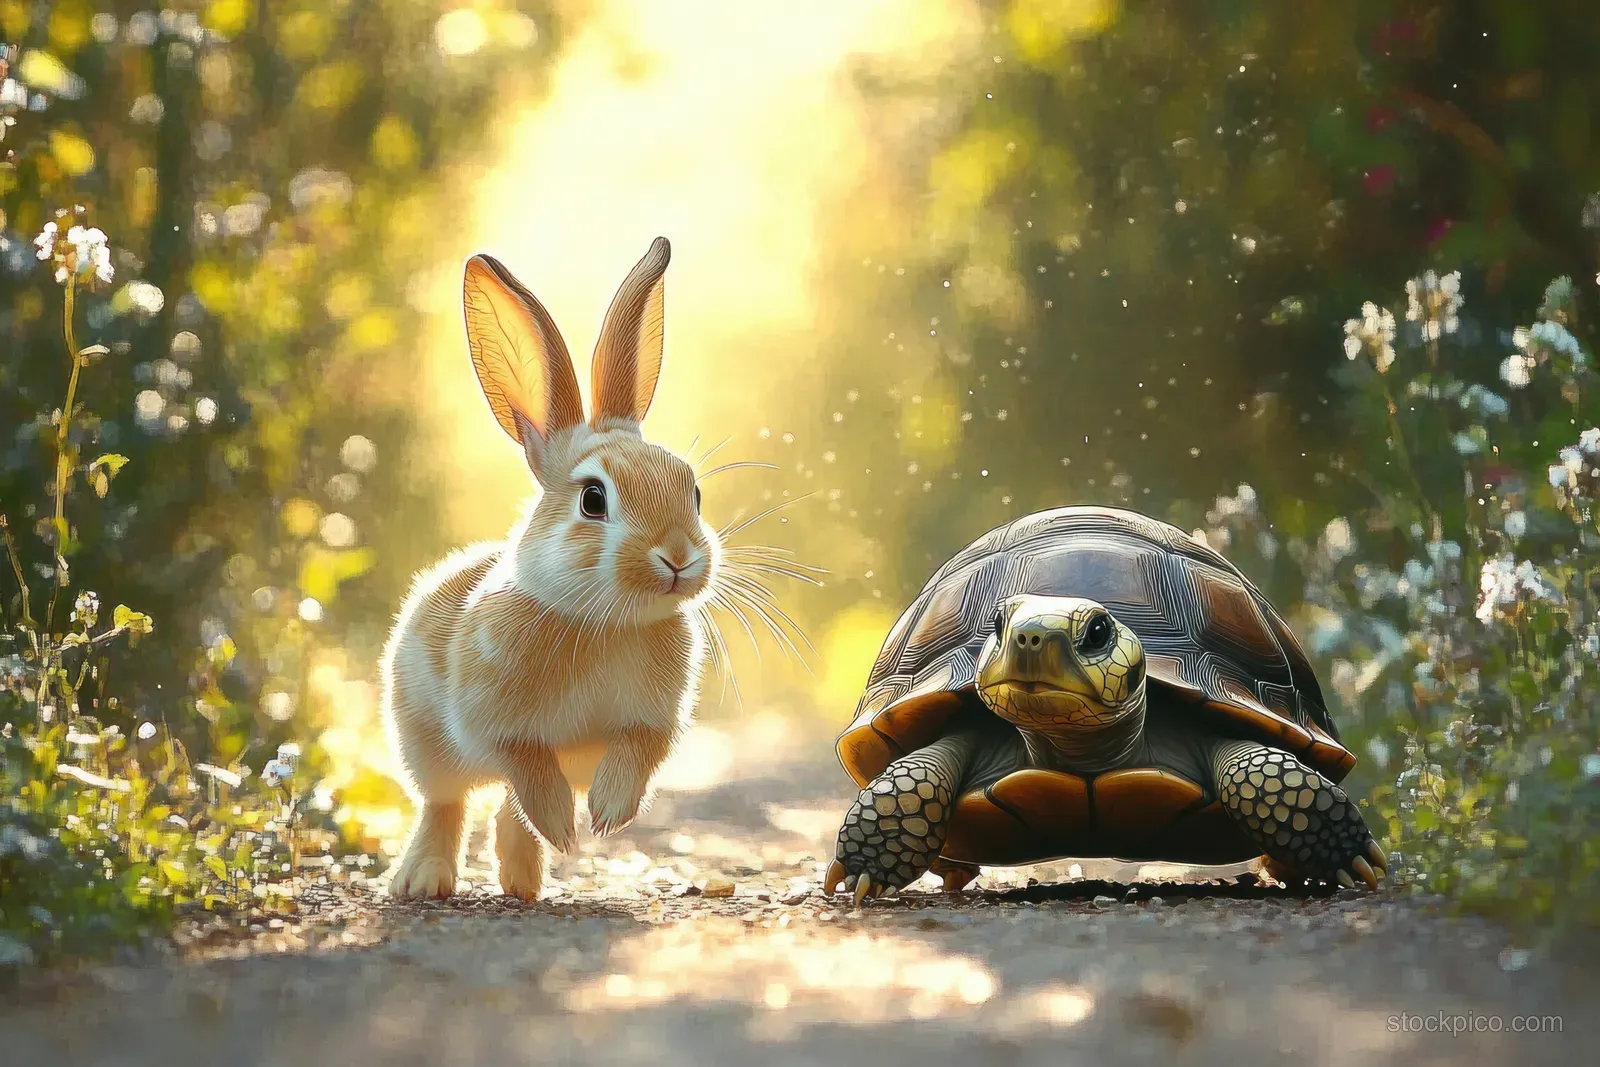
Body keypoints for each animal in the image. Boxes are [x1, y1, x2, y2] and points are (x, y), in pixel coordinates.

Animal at [380, 237, 718, 901]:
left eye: (692, 492)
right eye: (592, 499)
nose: (677, 557)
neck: (605, 621)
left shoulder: (650, 724)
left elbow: (635, 752)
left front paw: (605, 815)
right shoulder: (496, 726)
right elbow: (527, 764)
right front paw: (568, 825)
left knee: (506, 813)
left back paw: (523, 881)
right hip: (424, 745)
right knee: (446, 804)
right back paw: (425, 881)